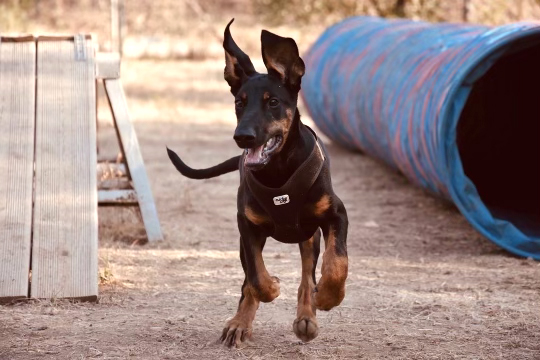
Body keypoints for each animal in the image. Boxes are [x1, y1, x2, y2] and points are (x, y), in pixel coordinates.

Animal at [167, 19, 348, 346]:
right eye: (239, 103)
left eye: (273, 102)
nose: (243, 137)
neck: (277, 170)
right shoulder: (246, 226)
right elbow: (255, 276)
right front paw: (271, 288)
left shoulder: (336, 214)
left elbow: (336, 262)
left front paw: (329, 297)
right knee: (250, 279)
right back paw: (240, 323)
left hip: (308, 235)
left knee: (307, 274)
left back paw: (307, 316)